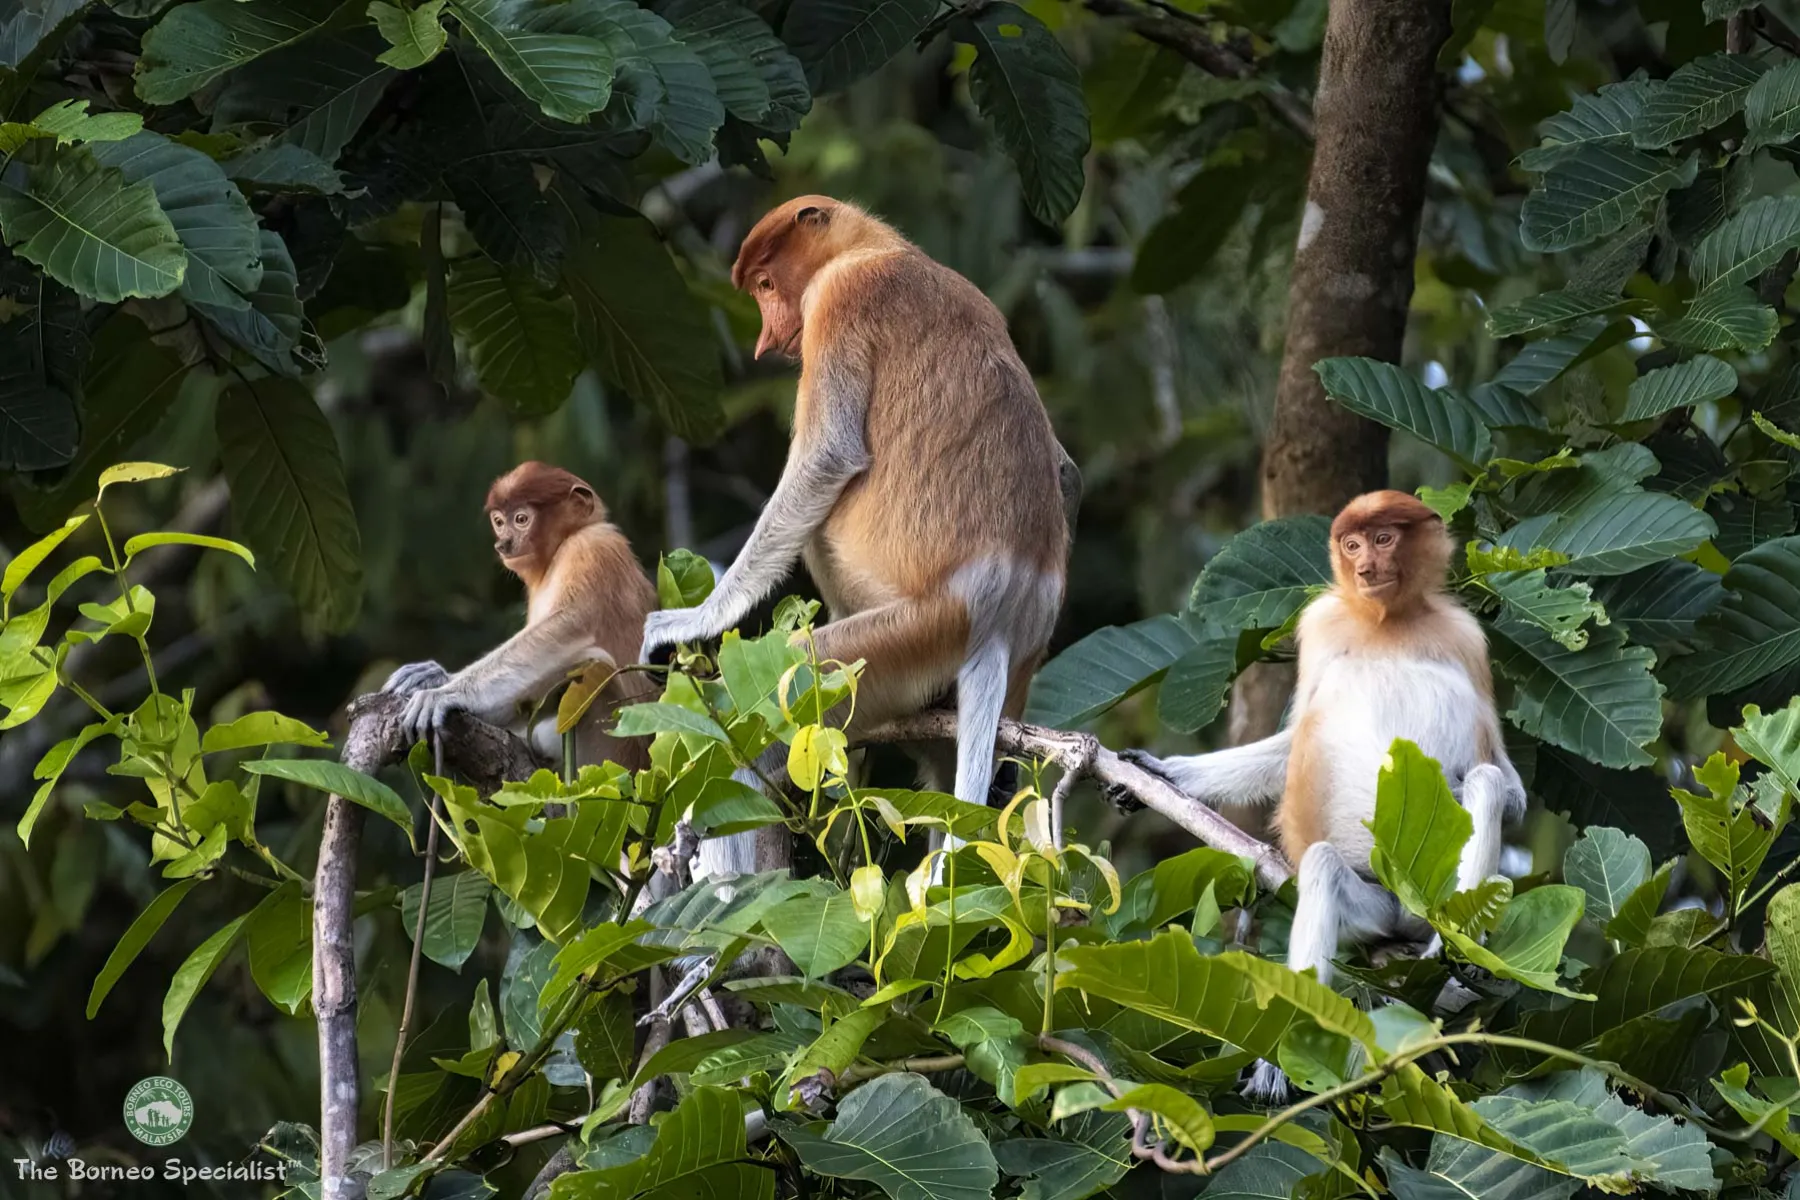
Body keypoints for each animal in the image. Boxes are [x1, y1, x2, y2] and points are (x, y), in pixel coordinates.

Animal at [384, 462, 660, 770]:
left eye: (521, 519)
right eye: (499, 522)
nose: (503, 544)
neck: (563, 546)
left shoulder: (594, 547)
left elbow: (567, 627)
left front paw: (445, 694)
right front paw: (431, 676)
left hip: (615, 749)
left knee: (592, 665)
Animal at [638, 195, 1071, 880]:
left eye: (766, 284)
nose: (765, 339)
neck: (875, 248)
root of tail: (1003, 616)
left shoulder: (840, 301)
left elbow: (827, 458)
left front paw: (693, 620)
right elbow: (1064, 468)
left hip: (897, 641)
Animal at [1121, 491, 1525, 1099]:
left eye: (1384, 538)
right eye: (1351, 544)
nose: (1365, 569)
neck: (1388, 622)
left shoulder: (1466, 638)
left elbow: (1505, 778)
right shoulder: (1321, 625)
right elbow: (1293, 742)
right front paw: (1161, 773)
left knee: (1487, 783)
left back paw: (1454, 954)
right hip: (1374, 910)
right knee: (1323, 869)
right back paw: (1277, 1063)